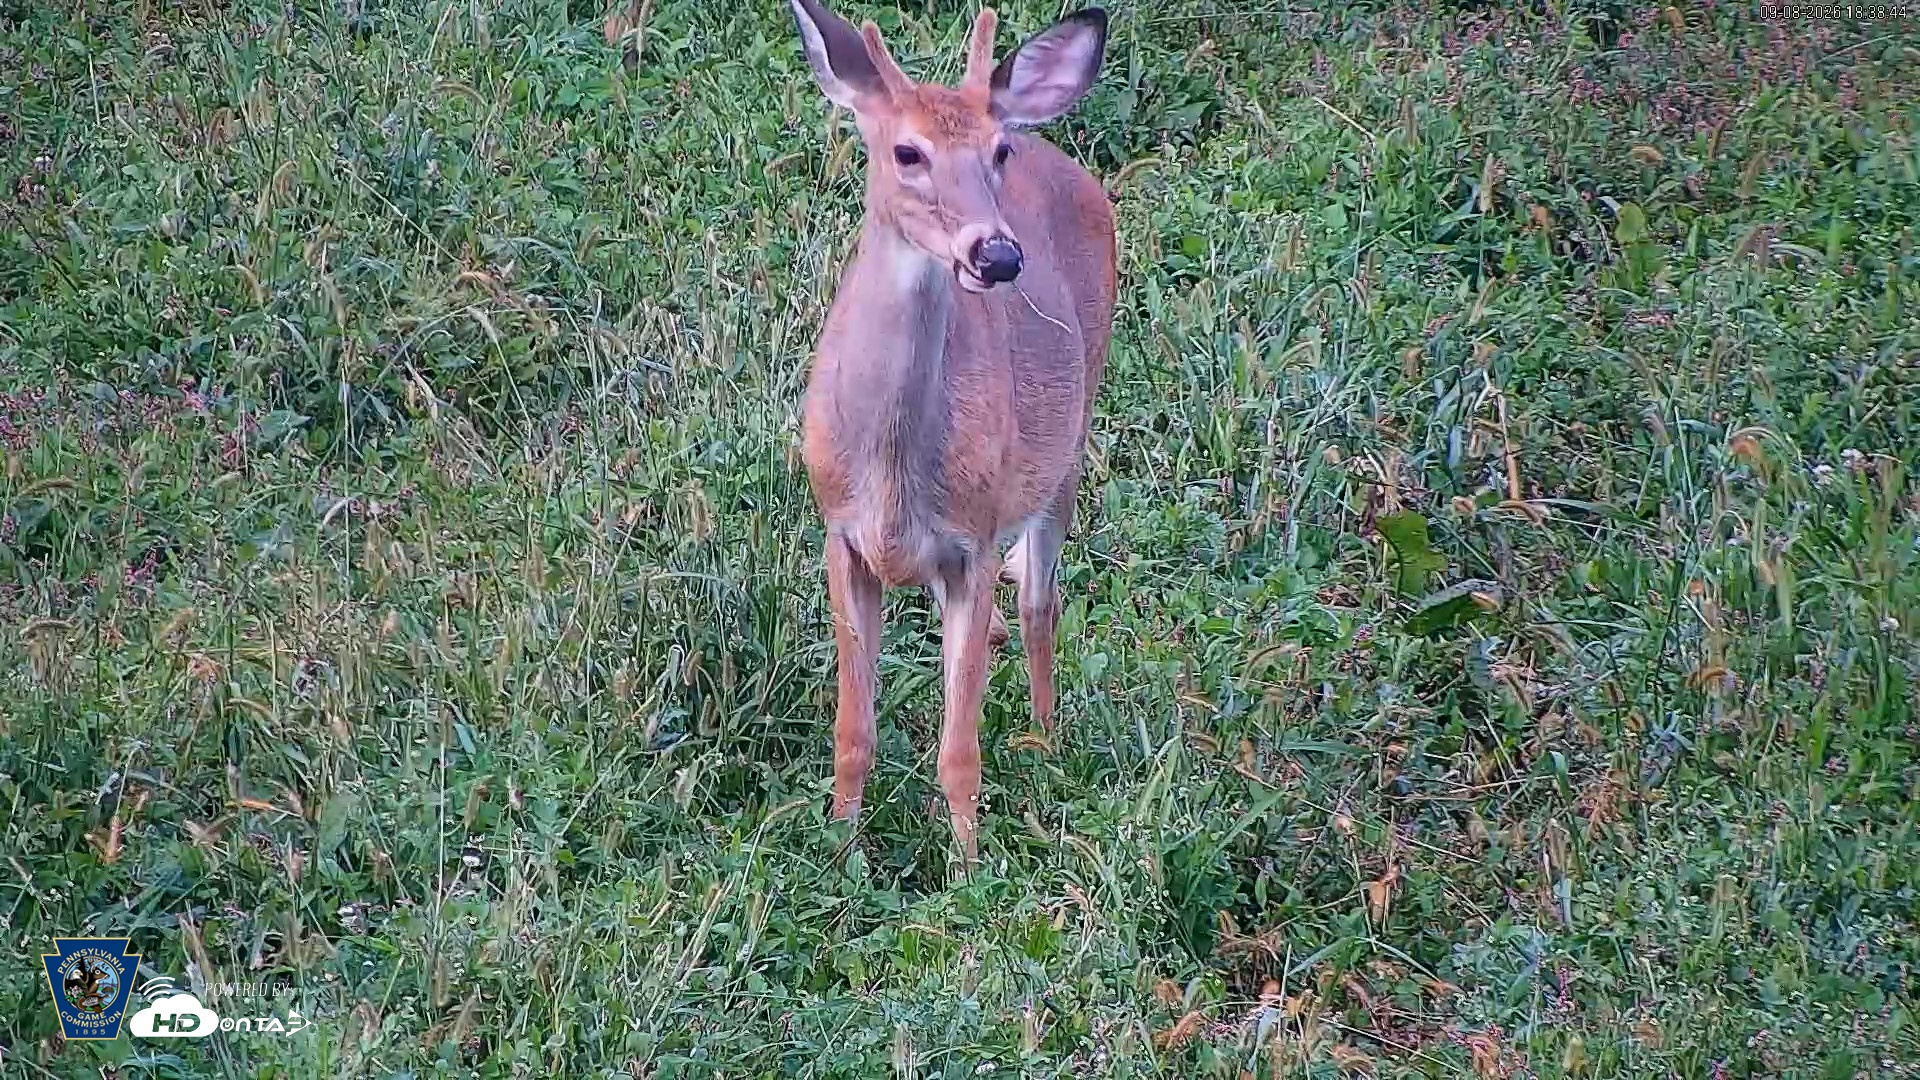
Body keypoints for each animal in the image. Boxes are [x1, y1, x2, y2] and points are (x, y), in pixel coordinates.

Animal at [787, 0, 1116, 860]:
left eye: (996, 150)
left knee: (1041, 602)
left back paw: (1045, 737)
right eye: (907, 151)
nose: (996, 254)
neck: (894, 471)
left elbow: (958, 749)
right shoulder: (841, 536)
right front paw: (840, 844)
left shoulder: (974, 538)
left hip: (1068, 441)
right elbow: (853, 729)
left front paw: (969, 863)